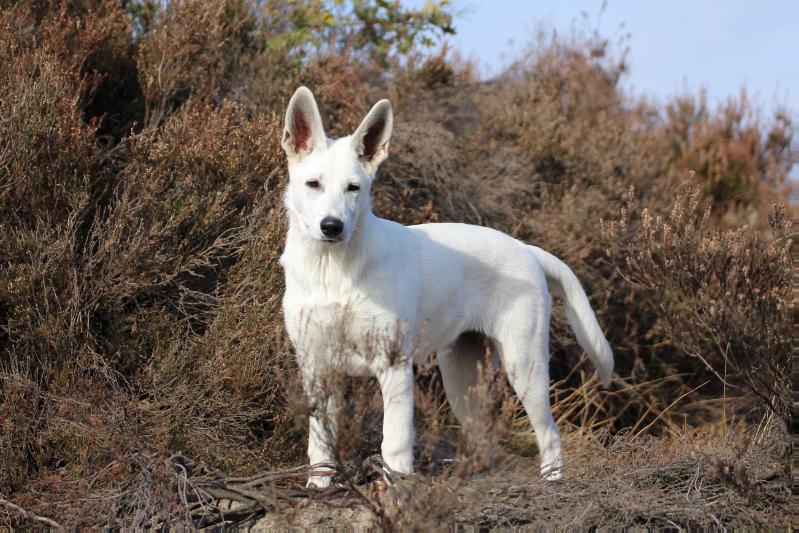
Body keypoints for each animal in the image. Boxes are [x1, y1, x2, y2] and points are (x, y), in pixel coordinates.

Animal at [278, 84, 616, 486]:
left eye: (353, 188)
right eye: (313, 184)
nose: (332, 227)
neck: (332, 271)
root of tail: (526, 249)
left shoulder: (393, 366)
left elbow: (395, 442)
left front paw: (397, 489)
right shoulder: (316, 367)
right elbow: (320, 442)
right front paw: (319, 486)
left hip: (524, 364)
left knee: (549, 432)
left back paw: (551, 481)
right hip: (461, 375)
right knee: (482, 433)